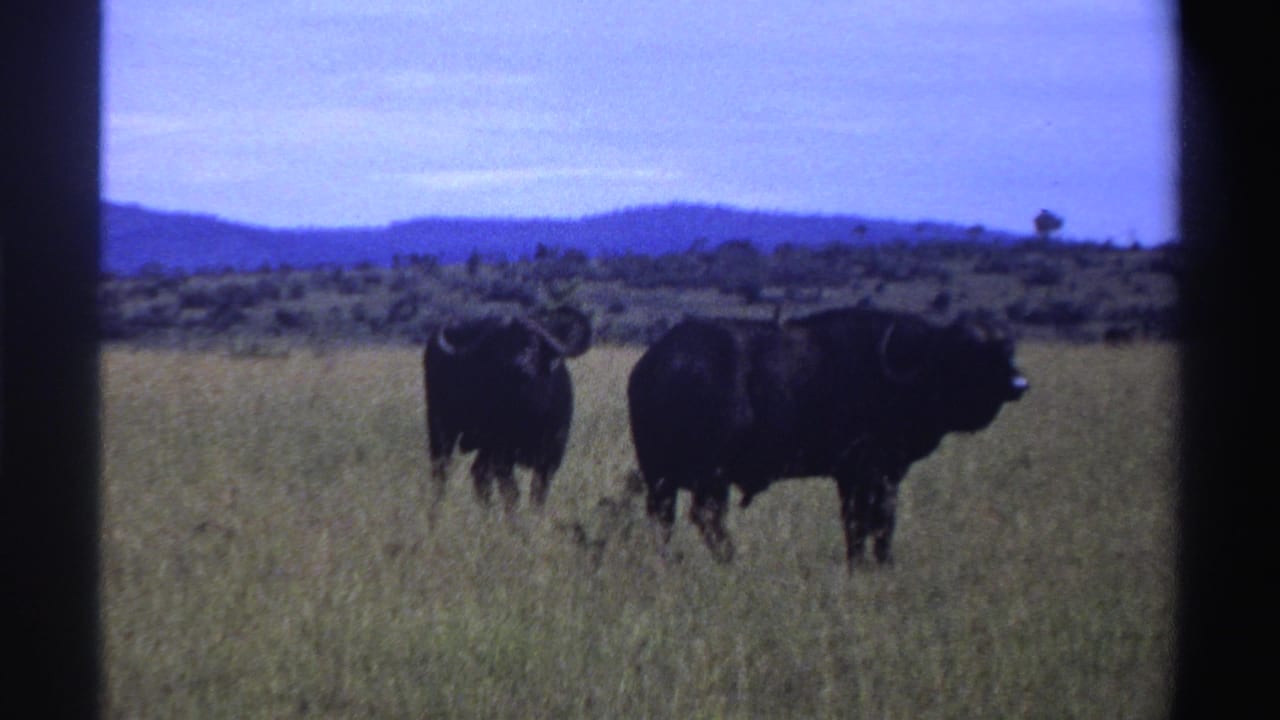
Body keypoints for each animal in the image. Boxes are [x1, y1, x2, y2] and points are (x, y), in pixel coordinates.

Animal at [424, 306, 591, 521]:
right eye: (500, 347)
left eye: (534, 344)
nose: (518, 365)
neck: (529, 414)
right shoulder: (502, 456)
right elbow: (512, 494)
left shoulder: (552, 455)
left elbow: (538, 493)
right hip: (441, 428)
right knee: (441, 471)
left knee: (478, 474)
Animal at [627, 307, 1028, 571]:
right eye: (971, 352)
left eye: (1009, 348)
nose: (1019, 384)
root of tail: (657, 364)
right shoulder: (875, 472)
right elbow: (878, 520)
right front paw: (880, 564)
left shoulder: (853, 477)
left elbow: (857, 521)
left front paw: (861, 562)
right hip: (709, 474)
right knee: (706, 517)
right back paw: (730, 560)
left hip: (662, 476)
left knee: (667, 518)